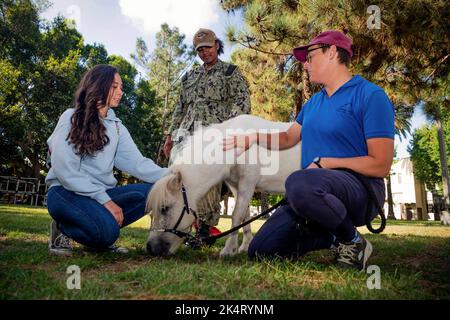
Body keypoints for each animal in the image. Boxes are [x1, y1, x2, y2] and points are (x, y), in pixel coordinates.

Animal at [145, 115, 298, 258]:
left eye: (164, 208)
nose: (151, 248)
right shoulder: (236, 187)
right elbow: (245, 216)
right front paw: (245, 246)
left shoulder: (247, 184)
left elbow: (236, 216)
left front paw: (228, 249)